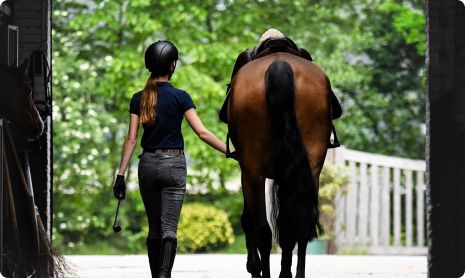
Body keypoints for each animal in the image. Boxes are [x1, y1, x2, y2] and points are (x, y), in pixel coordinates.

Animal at [227, 52, 330, 278]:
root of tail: (280, 64)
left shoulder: (246, 173)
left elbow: (248, 220)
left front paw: (253, 266)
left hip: (254, 172)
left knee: (263, 229)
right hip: (309, 171)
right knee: (299, 224)